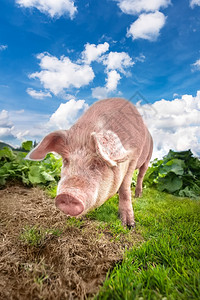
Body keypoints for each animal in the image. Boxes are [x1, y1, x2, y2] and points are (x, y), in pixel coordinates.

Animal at [26, 97, 153, 226]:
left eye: (98, 162)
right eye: (66, 160)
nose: (67, 195)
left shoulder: (134, 156)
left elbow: (125, 188)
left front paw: (128, 225)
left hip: (148, 158)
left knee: (141, 175)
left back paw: (138, 196)